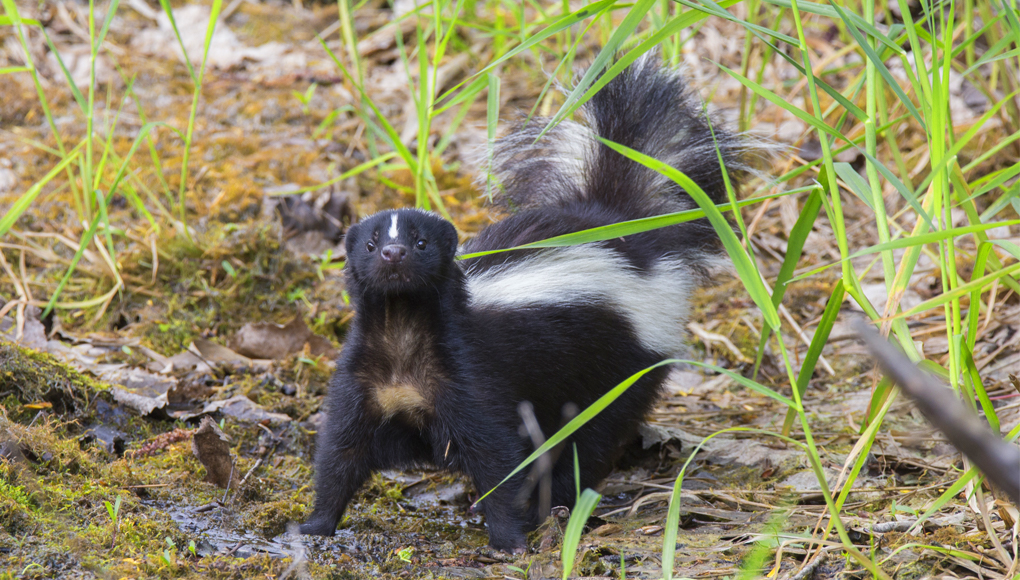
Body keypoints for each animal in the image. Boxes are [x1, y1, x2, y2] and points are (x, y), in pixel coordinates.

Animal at [297, 56, 746, 550]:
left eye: (420, 242)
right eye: (372, 244)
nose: (394, 255)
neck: (402, 330)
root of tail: (616, 225)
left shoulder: (471, 380)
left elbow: (496, 457)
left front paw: (509, 537)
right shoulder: (363, 383)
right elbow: (341, 452)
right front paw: (314, 526)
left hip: (618, 366)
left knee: (589, 438)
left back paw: (558, 504)